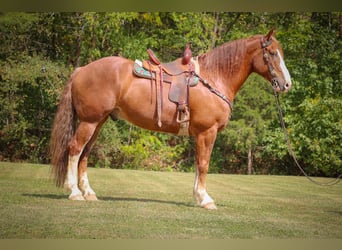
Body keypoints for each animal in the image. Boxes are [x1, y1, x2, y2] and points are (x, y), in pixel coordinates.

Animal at [50, 29, 292, 209]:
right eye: (272, 53)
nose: (287, 84)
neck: (214, 77)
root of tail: (81, 70)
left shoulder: (199, 134)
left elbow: (197, 164)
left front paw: (197, 196)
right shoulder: (208, 132)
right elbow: (204, 164)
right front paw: (205, 199)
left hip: (98, 122)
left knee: (84, 154)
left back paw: (89, 192)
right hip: (89, 122)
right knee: (74, 149)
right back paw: (74, 192)